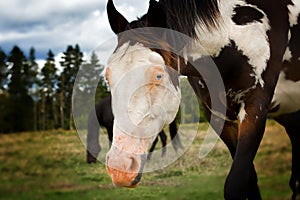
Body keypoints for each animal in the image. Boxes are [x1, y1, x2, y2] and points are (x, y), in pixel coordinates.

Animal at [103, 0, 300, 199]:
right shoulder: (220, 118)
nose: (119, 167)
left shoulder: (254, 109)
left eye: (158, 75)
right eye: (108, 77)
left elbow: (237, 184)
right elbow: (249, 181)